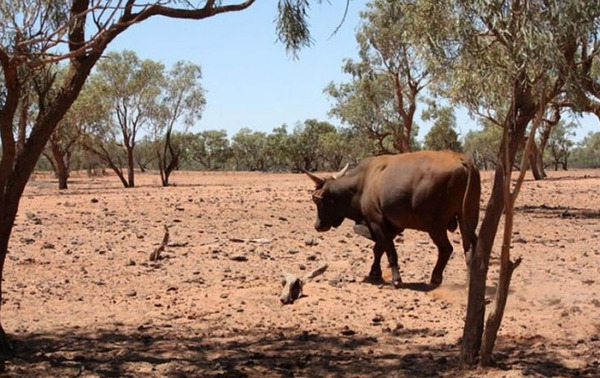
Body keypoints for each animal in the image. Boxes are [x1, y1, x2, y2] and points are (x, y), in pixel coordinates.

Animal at [308, 150, 480, 286]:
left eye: (318, 200)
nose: (318, 226)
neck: (362, 183)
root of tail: (460, 158)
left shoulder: (377, 223)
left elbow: (390, 252)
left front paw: (396, 279)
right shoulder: (393, 226)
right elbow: (379, 249)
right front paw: (375, 272)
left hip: (435, 227)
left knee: (446, 249)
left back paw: (436, 277)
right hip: (466, 220)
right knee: (471, 247)